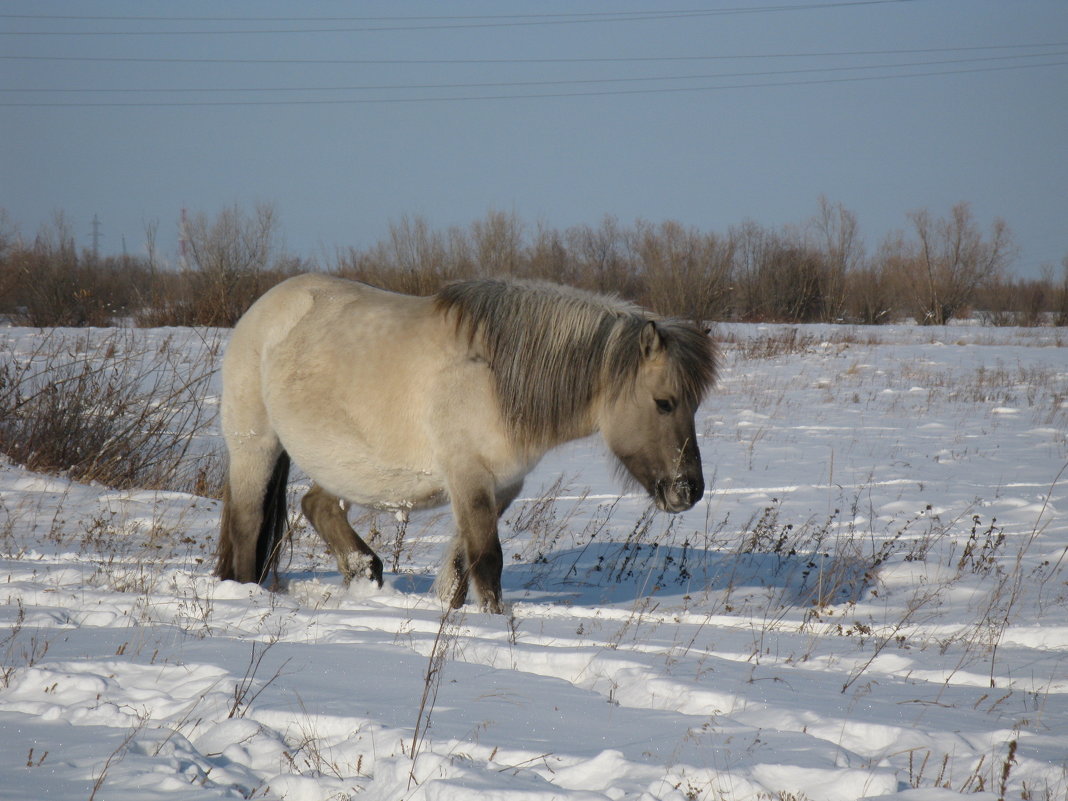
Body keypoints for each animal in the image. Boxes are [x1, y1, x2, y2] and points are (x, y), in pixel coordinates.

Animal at [214, 275, 717, 615]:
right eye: (664, 402)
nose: (689, 490)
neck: (494, 377)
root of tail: (264, 307)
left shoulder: (502, 486)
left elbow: (460, 568)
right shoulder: (468, 477)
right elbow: (487, 560)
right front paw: (495, 622)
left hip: (341, 465)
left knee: (316, 505)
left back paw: (366, 573)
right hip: (256, 447)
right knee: (248, 523)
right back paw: (246, 593)